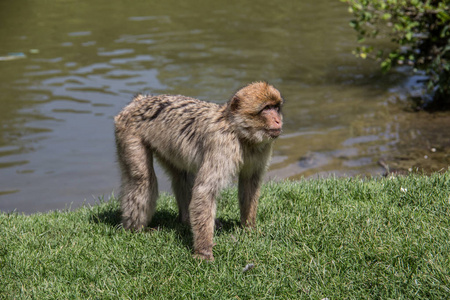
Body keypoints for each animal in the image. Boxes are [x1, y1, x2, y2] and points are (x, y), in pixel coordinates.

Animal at [114, 81, 284, 260]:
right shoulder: (221, 146)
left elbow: (249, 184)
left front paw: (249, 228)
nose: (278, 120)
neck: (241, 134)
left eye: (276, 107)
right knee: (142, 179)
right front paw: (203, 251)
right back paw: (135, 229)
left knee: (181, 175)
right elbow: (205, 191)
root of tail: (137, 102)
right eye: (266, 108)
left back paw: (186, 220)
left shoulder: (261, 150)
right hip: (129, 133)